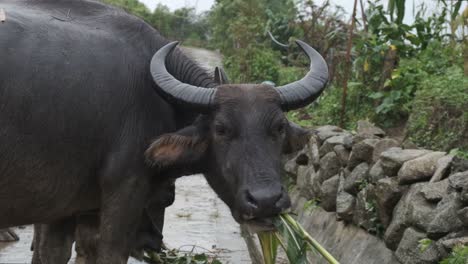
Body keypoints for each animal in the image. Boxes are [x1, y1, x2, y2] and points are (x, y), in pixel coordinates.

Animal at [0, 1, 328, 262]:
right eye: (221, 129)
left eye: (279, 127)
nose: (265, 201)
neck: (156, 95)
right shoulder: (124, 194)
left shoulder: (65, 209)